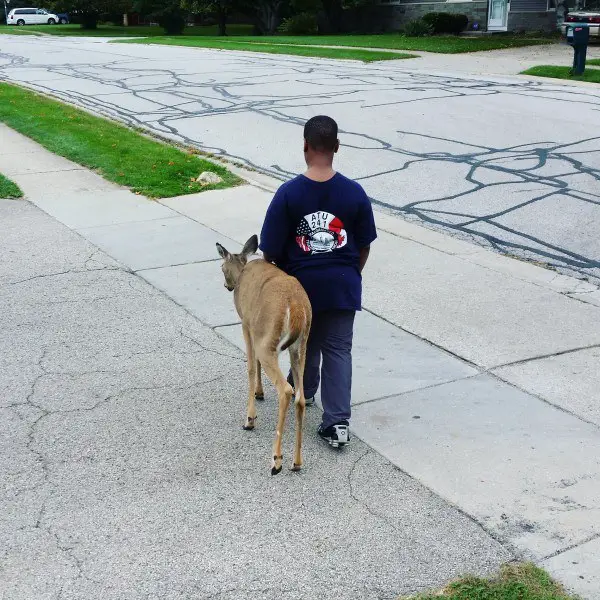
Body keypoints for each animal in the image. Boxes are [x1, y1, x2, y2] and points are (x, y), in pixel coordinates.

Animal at [216, 234, 312, 474]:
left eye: (221, 267)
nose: (227, 286)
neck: (242, 271)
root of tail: (297, 307)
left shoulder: (246, 324)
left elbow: (251, 366)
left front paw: (250, 418)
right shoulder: (255, 331)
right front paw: (259, 393)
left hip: (269, 340)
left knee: (285, 390)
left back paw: (276, 460)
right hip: (301, 345)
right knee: (300, 397)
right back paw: (296, 462)